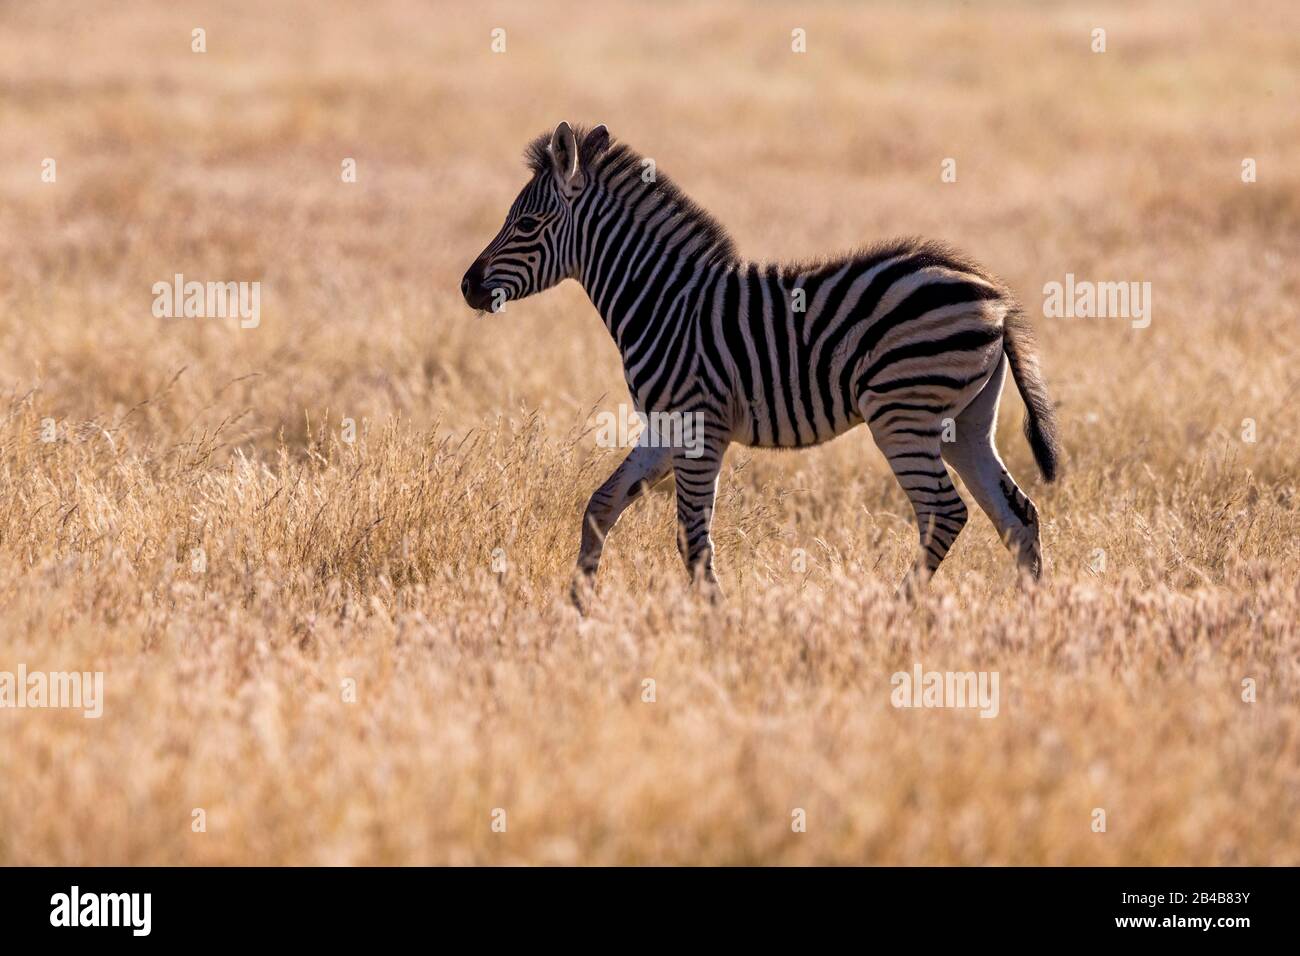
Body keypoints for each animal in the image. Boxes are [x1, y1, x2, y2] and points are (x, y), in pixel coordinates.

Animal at [461, 122, 1062, 604]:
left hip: (902, 413)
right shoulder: (666, 424)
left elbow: (692, 538)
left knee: (946, 513)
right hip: (965, 421)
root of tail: (997, 300)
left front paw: (716, 621)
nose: (467, 286)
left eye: (527, 224)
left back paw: (896, 611)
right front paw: (579, 606)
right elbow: (601, 506)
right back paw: (1028, 620)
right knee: (1017, 516)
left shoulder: (700, 424)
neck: (663, 301)